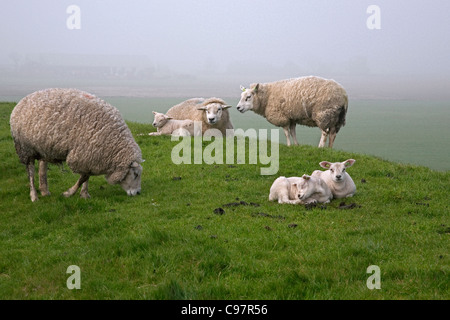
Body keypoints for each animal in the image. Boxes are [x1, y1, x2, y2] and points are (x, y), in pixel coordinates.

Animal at [9, 87, 143, 201]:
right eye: (136, 174)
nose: (138, 193)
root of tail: (23, 101)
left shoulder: (90, 157)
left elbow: (86, 176)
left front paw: (84, 194)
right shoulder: (84, 155)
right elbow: (83, 177)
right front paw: (69, 193)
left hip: (43, 147)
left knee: (42, 165)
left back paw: (44, 190)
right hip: (25, 148)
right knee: (30, 170)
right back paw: (34, 196)